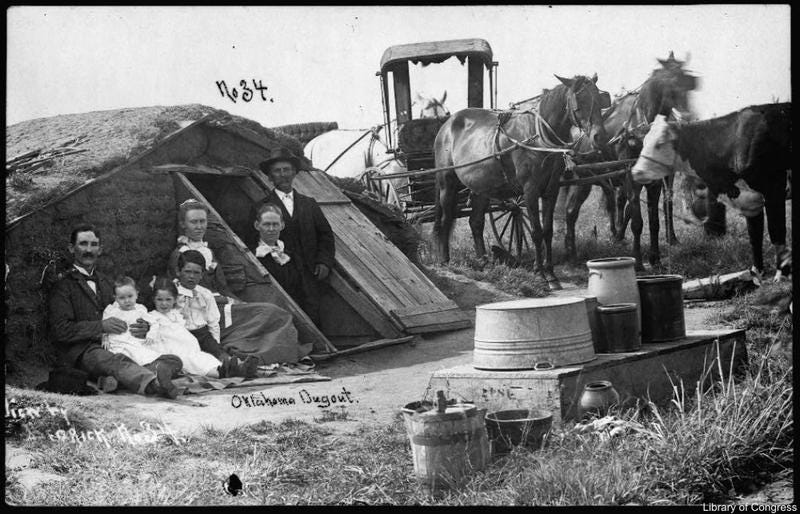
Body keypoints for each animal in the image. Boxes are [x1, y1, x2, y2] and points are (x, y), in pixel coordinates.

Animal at [434, 73, 608, 288]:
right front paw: (539, 273)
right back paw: (445, 259)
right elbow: (536, 231)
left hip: (481, 188)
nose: (599, 137)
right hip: (447, 183)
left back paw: (483, 261)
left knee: (475, 222)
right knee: (445, 219)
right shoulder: (530, 190)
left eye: (599, 99)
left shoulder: (551, 189)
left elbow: (548, 230)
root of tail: (447, 125)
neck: (539, 137)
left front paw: (551, 274)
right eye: (579, 101)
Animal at [560, 50, 696, 270]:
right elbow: (637, 221)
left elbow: (654, 221)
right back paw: (571, 253)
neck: (640, 127)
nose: (687, 115)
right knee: (572, 211)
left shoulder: (654, 181)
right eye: (671, 81)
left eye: (689, 80)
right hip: (583, 179)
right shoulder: (630, 178)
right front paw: (638, 262)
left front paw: (656, 259)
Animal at [632, 103, 792, 280]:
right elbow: (755, 236)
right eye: (644, 142)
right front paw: (757, 272)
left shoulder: (774, 191)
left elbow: (777, 233)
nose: (636, 172)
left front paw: (781, 275)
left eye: (660, 143)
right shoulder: (749, 200)